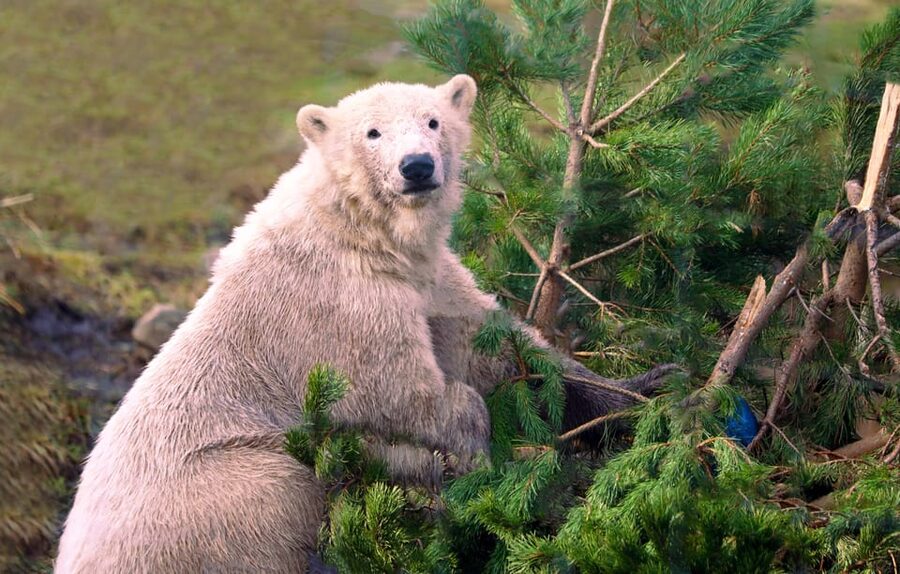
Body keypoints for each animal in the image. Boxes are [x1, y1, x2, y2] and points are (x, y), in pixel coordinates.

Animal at [55, 75, 670, 573]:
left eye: (433, 120)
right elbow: (399, 389)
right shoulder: (340, 302)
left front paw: (647, 389)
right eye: (373, 133)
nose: (417, 166)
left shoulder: (430, 282)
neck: (359, 230)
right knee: (278, 490)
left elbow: (502, 349)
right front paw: (478, 459)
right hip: (213, 490)